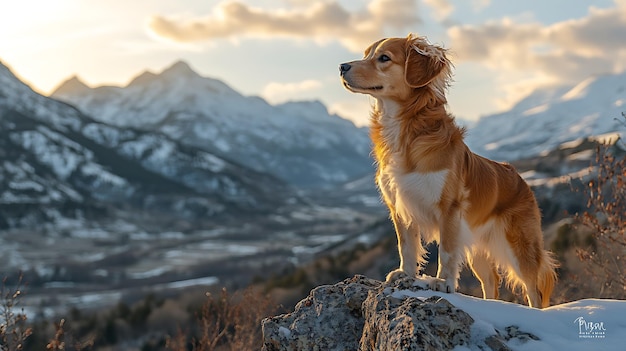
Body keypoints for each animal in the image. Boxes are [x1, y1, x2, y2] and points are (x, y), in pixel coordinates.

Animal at [338, 33, 560, 308]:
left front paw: (443, 282)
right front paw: (406, 274)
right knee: (491, 281)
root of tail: (518, 177)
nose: (342, 67)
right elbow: (406, 245)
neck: (406, 130)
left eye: (384, 58)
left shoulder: (449, 209)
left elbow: (445, 250)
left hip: (519, 245)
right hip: (477, 247)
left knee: (533, 288)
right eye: (366, 54)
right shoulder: (400, 204)